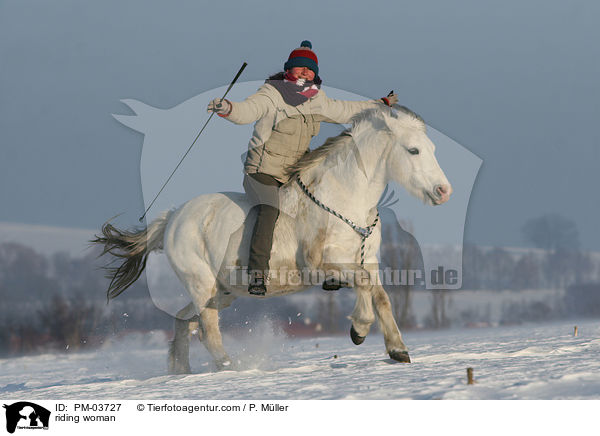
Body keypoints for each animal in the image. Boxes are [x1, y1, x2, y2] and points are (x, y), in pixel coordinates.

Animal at [94, 107, 450, 372]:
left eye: (433, 149)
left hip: (221, 292)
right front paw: (359, 330)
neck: (345, 201)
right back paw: (230, 367)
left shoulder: (368, 261)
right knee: (208, 331)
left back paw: (181, 371)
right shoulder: (322, 264)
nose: (443, 191)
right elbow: (363, 287)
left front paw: (398, 350)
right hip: (201, 284)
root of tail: (174, 217)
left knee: (184, 321)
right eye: (413, 150)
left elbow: (381, 296)